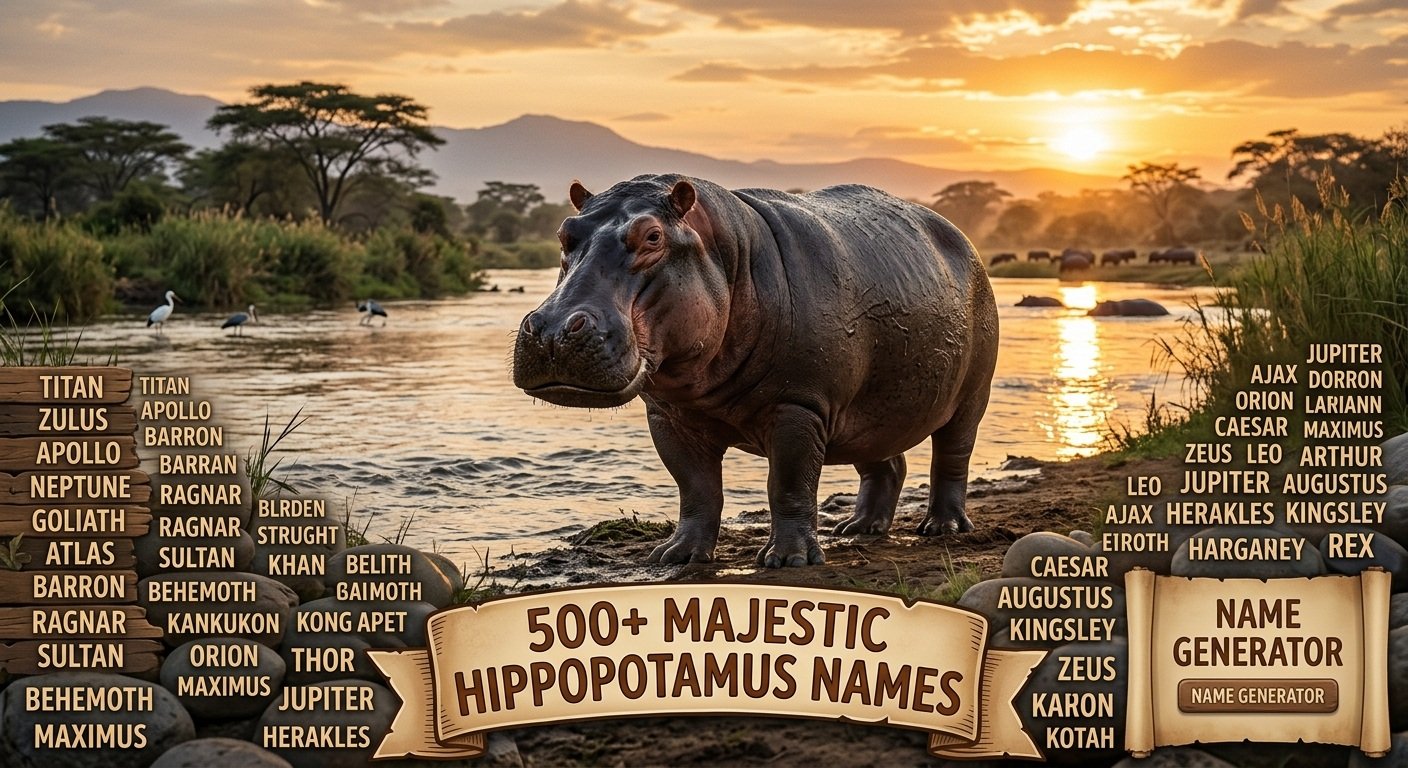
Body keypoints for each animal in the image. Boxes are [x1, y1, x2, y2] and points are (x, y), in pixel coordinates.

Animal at [512, 174, 999, 568]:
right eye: (564, 234)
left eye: (652, 236)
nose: (553, 330)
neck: (728, 256)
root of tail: (964, 240)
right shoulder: (669, 416)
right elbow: (696, 488)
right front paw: (675, 555)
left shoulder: (798, 405)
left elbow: (788, 482)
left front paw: (789, 560)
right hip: (871, 409)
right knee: (886, 463)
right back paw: (858, 529)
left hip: (970, 398)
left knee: (952, 456)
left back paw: (942, 529)